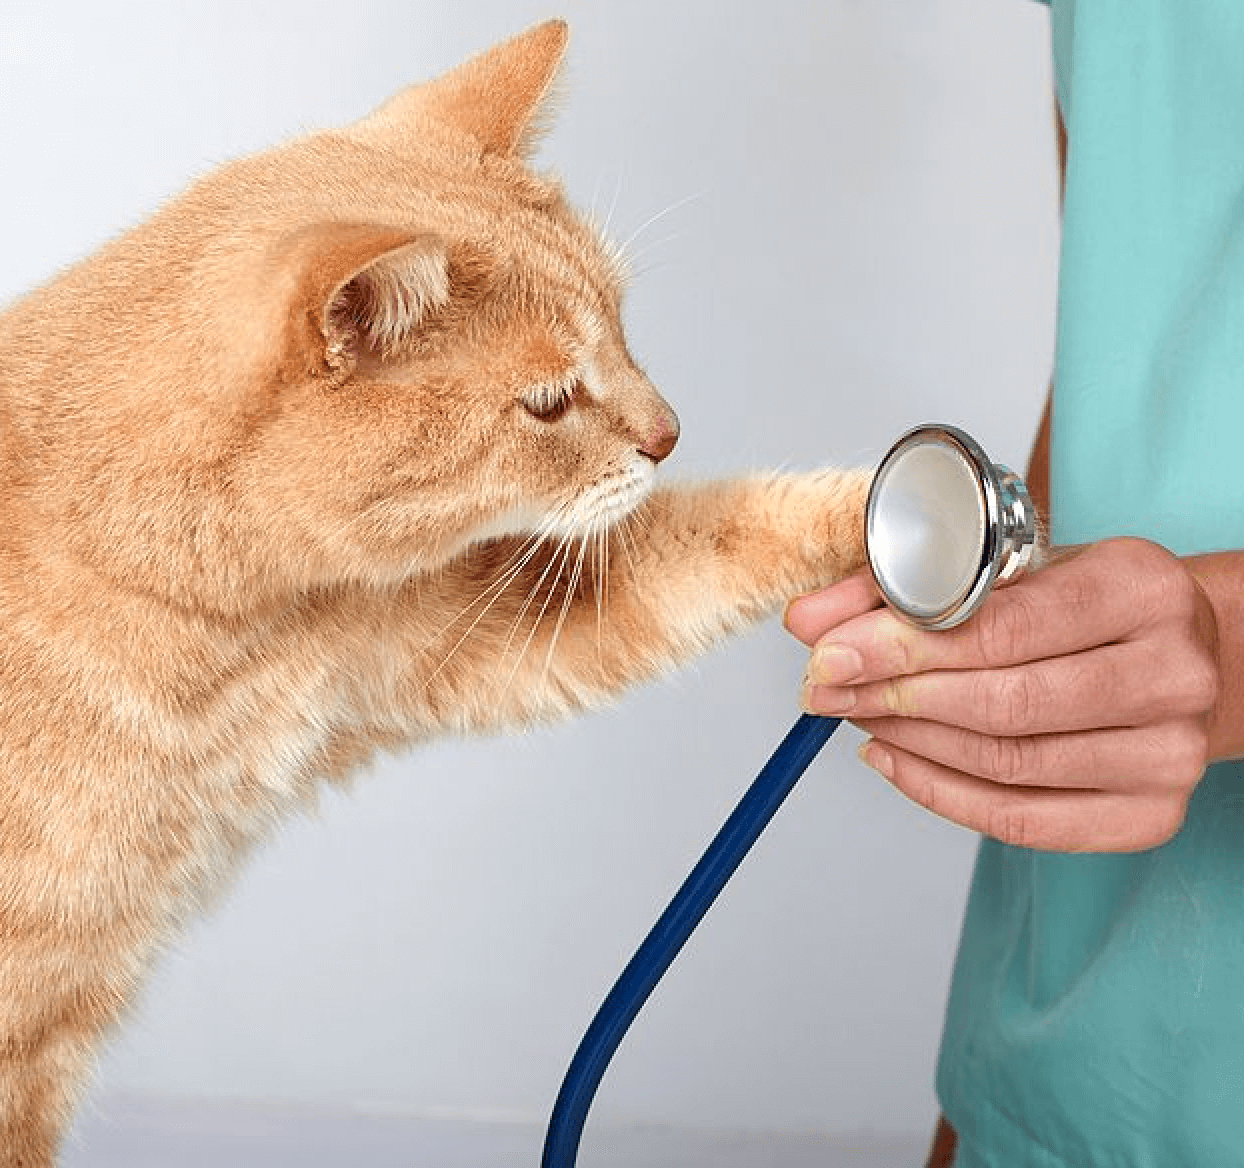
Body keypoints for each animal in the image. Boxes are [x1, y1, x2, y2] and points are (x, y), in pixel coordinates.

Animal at [0, 20, 870, 1168]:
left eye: (624, 325)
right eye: (547, 402)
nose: (671, 432)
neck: (226, 633)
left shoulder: (444, 636)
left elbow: (713, 536)